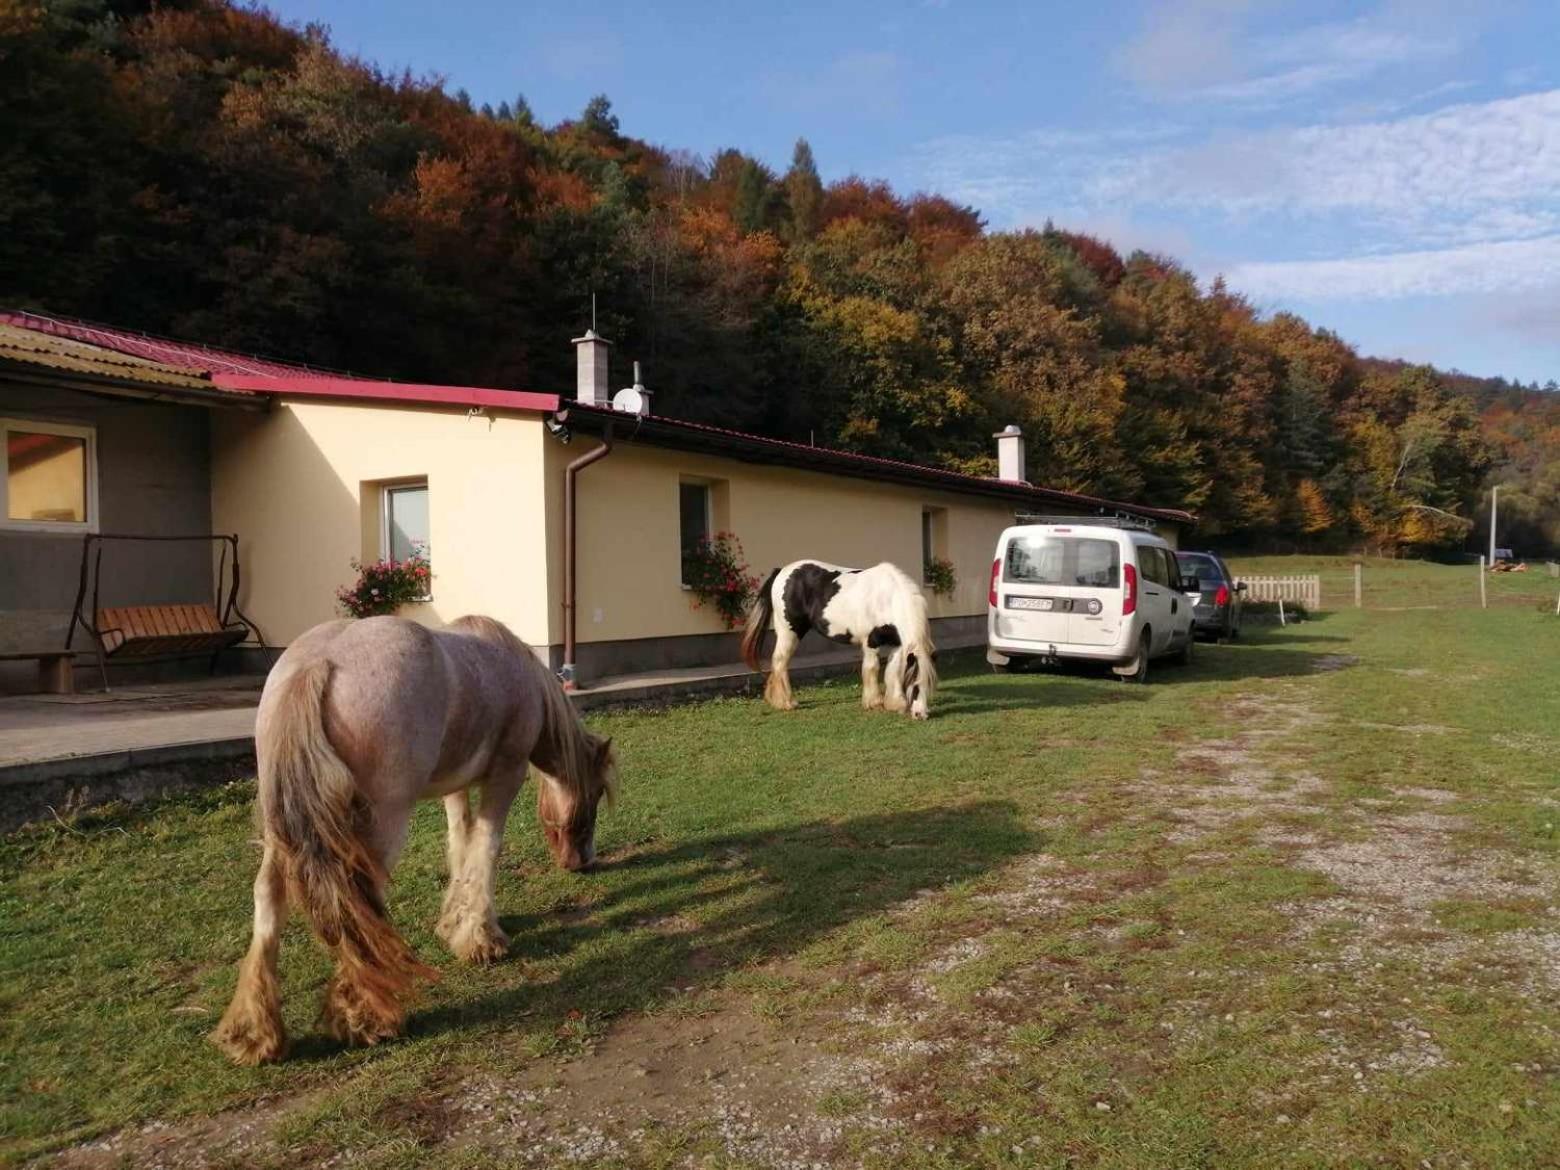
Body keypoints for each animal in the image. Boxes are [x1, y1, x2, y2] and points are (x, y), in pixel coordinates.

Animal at [213, 617, 614, 1067]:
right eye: (597, 791)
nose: (582, 860)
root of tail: (317, 664)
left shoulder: (454, 787)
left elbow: (461, 842)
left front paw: (455, 922)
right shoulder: (505, 776)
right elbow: (485, 849)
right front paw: (482, 939)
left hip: (279, 829)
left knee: (269, 895)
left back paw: (255, 1032)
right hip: (380, 824)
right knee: (357, 901)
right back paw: (368, 1018)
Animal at [742, 564, 935, 720]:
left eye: (929, 683)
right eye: (915, 684)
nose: (921, 715)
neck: (888, 599)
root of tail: (782, 570)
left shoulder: (897, 643)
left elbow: (893, 671)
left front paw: (895, 703)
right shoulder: (871, 642)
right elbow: (872, 669)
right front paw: (874, 703)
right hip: (788, 632)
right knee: (780, 662)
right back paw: (787, 702)